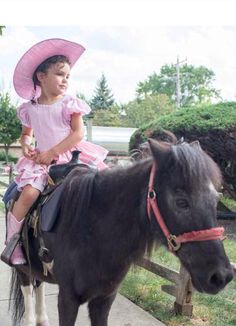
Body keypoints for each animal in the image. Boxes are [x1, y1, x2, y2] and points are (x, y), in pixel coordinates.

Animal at [8, 138, 232, 326]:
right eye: (181, 202)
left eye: (215, 199)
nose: (221, 276)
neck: (93, 233)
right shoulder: (67, 299)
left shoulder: (103, 299)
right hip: (22, 268)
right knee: (28, 287)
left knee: (39, 284)